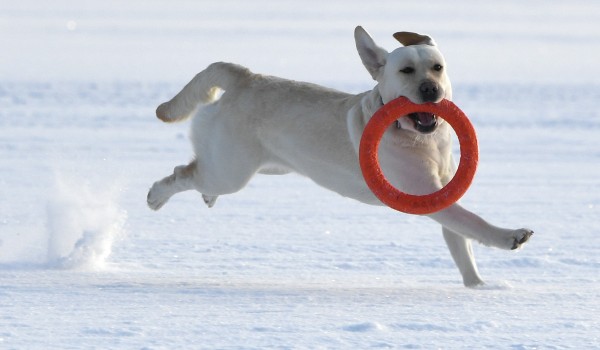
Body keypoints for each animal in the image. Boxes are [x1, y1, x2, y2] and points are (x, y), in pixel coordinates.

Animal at [148, 26, 532, 286]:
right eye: (406, 71)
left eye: (437, 67)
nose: (430, 89)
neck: (422, 141)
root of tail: (245, 76)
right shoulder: (427, 196)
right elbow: (474, 223)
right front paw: (511, 236)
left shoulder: (445, 191)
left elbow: (461, 245)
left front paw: (479, 287)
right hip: (231, 171)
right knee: (182, 172)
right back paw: (156, 195)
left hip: (265, 165)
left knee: (197, 169)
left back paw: (205, 197)